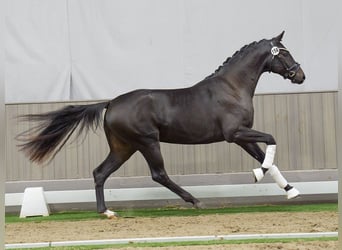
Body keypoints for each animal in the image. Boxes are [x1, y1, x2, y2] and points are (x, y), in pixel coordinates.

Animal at [17, 31, 304, 218]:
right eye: (285, 52)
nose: (300, 75)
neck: (232, 88)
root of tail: (111, 103)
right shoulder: (234, 133)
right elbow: (271, 141)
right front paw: (258, 175)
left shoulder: (242, 137)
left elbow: (267, 157)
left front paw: (291, 191)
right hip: (147, 142)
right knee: (159, 174)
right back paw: (196, 201)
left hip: (123, 147)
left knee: (100, 172)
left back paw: (106, 211)